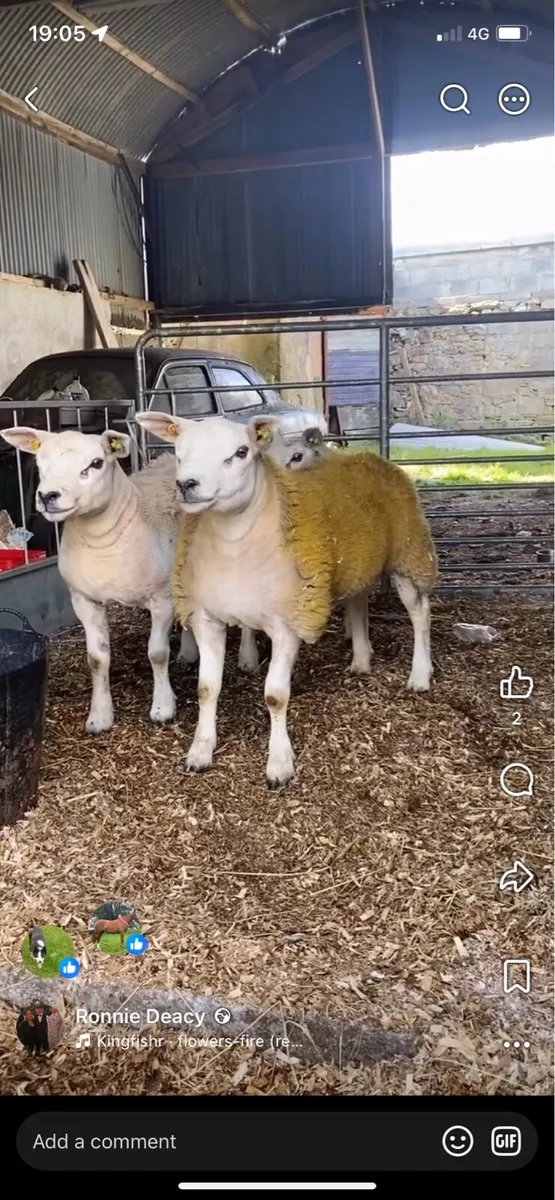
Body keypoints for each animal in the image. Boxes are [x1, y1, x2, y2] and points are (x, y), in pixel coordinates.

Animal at [0, 425, 194, 734]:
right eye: (40, 462)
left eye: (96, 463)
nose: (48, 495)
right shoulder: (83, 599)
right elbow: (97, 659)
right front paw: (100, 717)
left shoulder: (161, 598)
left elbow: (157, 653)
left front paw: (163, 707)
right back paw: (189, 653)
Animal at [135, 411, 438, 787]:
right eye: (178, 451)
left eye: (242, 452)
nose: (187, 485)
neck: (233, 545)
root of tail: (370, 456)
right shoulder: (206, 618)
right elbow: (206, 688)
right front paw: (200, 751)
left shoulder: (289, 623)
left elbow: (276, 696)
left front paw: (279, 764)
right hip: (358, 562)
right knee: (358, 602)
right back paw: (361, 660)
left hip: (409, 555)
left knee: (421, 614)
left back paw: (420, 675)